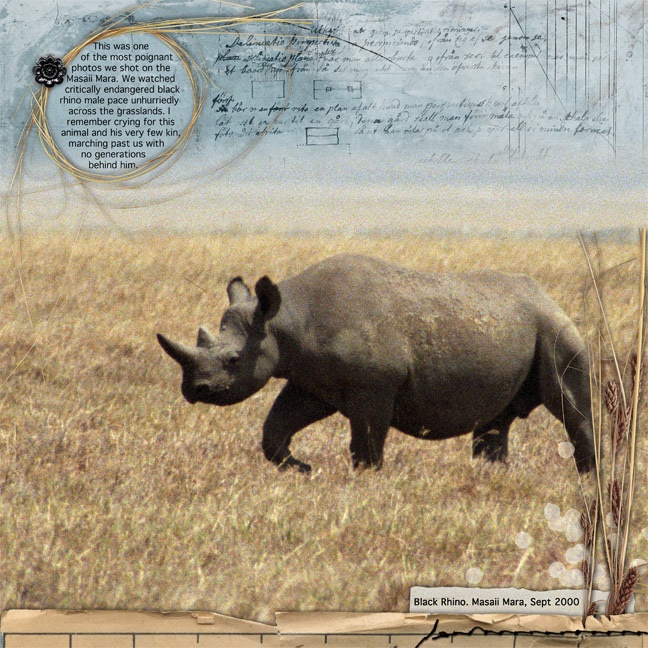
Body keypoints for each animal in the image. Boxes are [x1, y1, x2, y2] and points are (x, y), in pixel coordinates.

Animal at [157, 254, 595, 474]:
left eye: (233, 359)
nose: (193, 390)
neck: (284, 320)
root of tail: (547, 295)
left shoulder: (374, 385)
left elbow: (366, 443)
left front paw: (366, 480)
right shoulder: (311, 380)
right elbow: (275, 428)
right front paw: (303, 468)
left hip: (553, 327)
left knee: (569, 402)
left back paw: (587, 478)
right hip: (520, 326)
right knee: (495, 419)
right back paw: (492, 475)